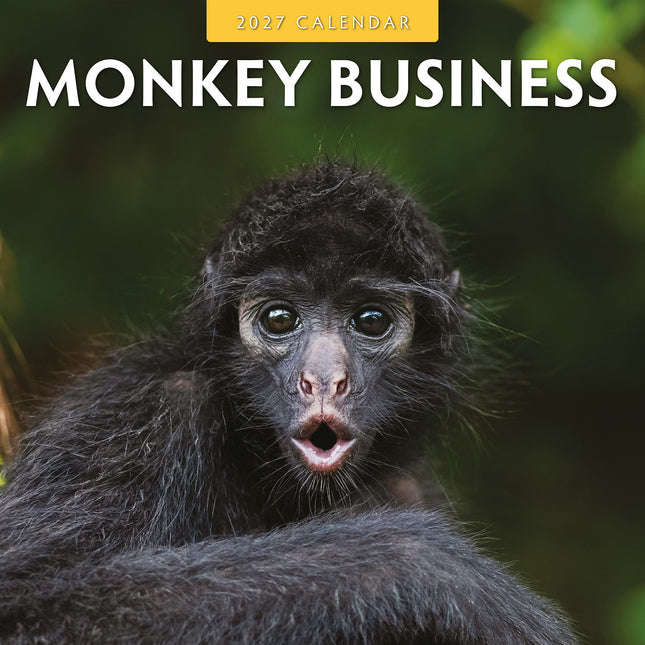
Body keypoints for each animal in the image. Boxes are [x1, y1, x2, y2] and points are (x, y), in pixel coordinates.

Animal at [0, 161, 577, 644]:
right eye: (279, 319)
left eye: (371, 321)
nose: (323, 379)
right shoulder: (141, 411)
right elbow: (27, 606)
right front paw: (434, 567)